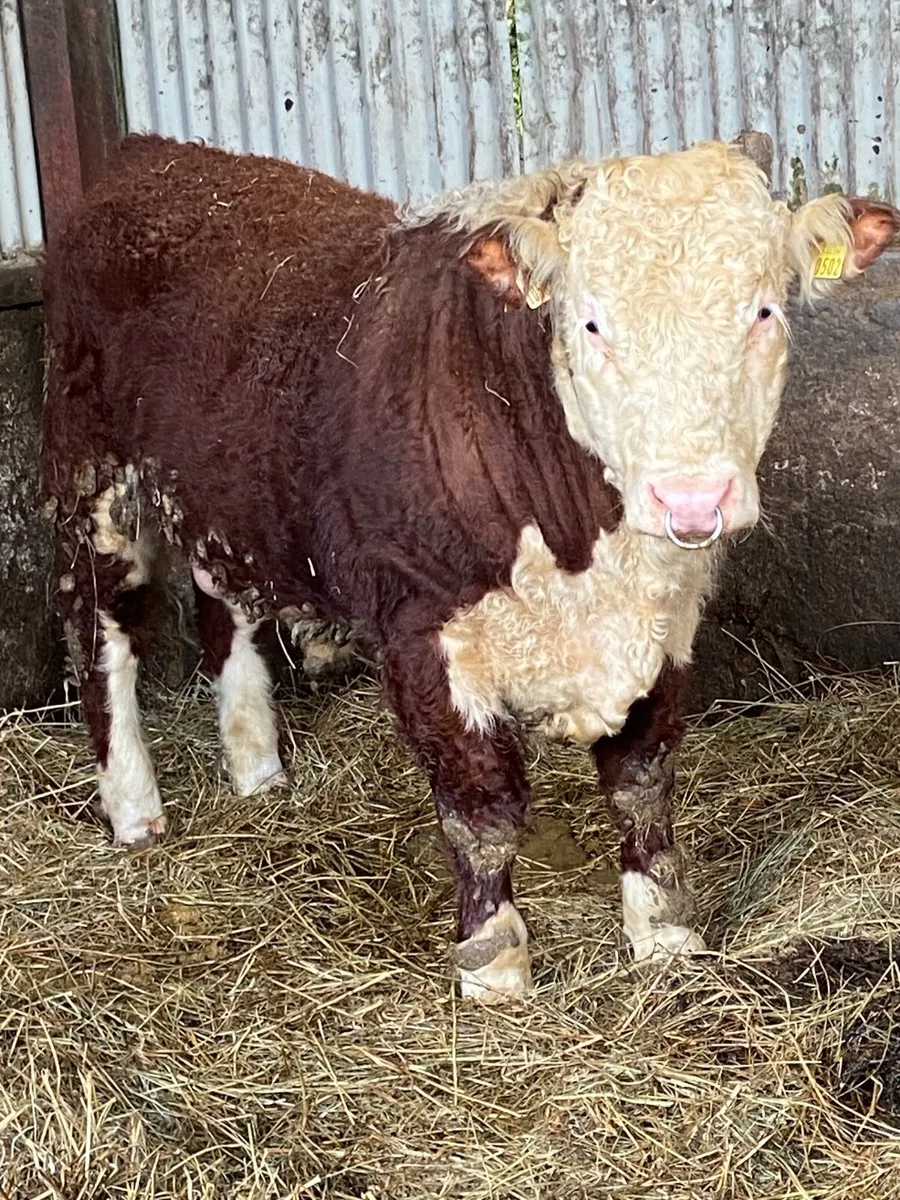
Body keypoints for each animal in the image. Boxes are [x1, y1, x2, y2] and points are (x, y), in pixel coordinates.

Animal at [41, 134, 899, 1001]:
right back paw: (134, 807)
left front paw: (663, 934)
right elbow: (480, 807)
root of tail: (152, 157)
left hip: (226, 492)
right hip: (91, 476)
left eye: (764, 311)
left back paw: (258, 770)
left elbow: (643, 779)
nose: (692, 497)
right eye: (591, 323)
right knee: (101, 632)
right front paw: (496, 967)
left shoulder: (669, 619)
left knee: (225, 604)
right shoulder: (423, 626)